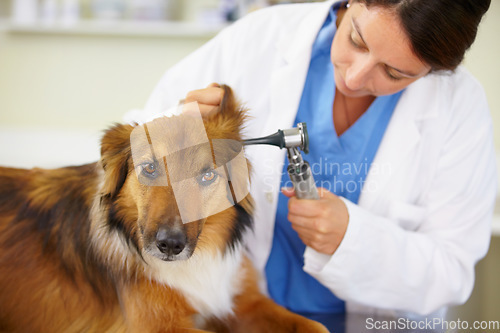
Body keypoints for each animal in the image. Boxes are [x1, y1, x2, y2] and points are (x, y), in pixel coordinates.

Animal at [0, 86, 328, 332]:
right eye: (150, 168)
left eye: (207, 175)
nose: (170, 245)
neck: (193, 265)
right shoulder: (157, 325)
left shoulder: (244, 299)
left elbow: (316, 326)